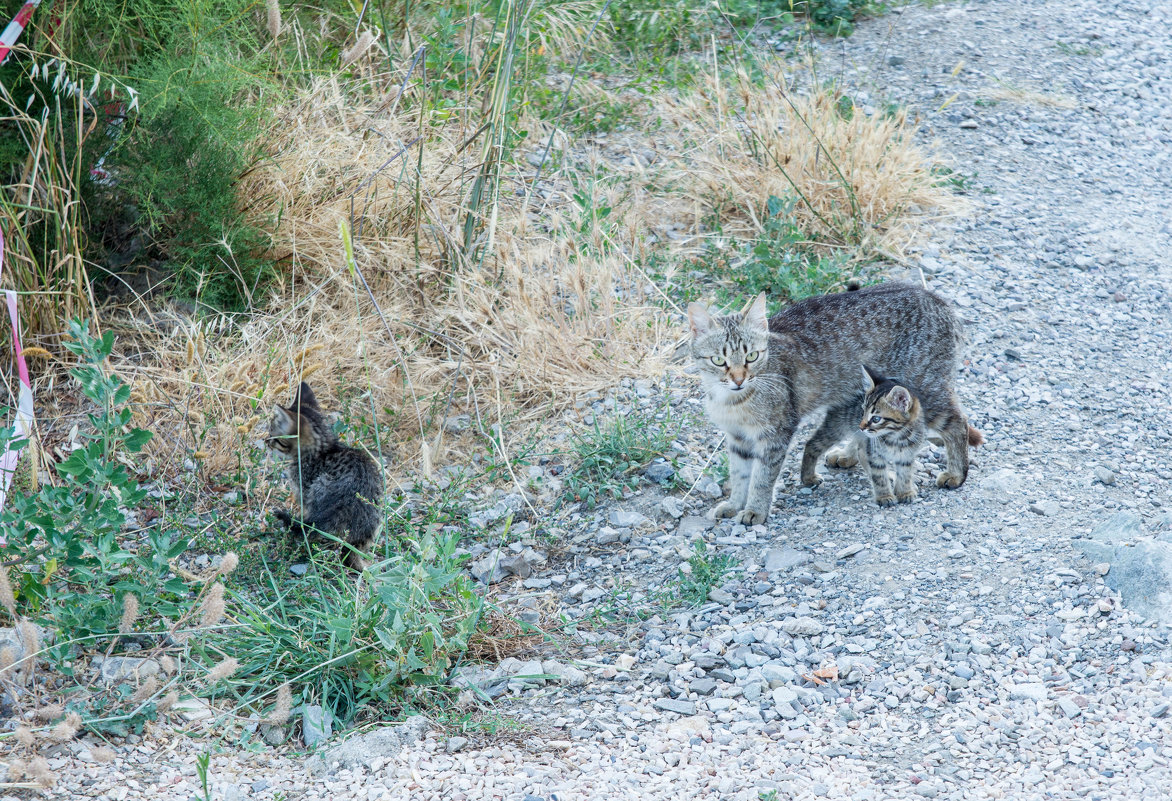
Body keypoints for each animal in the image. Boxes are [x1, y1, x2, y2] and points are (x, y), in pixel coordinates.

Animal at [689, 283, 975, 525]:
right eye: (718, 360)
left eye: (752, 356)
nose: (738, 379)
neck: (732, 401)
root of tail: (938, 300)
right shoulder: (737, 438)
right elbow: (739, 475)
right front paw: (735, 504)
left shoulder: (775, 435)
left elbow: (761, 478)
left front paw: (755, 510)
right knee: (863, 432)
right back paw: (849, 454)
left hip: (925, 390)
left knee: (958, 421)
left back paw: (956, 474)